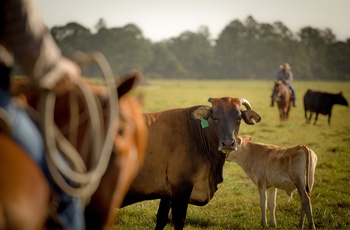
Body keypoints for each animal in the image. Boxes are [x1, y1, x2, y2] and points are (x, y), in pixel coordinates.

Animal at [121, 97, 262, 230]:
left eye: (238, 118)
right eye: (216, 118)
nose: (228, 143)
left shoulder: (167, 193)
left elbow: (162, 218)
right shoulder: (182, 187)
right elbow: (179, 220)